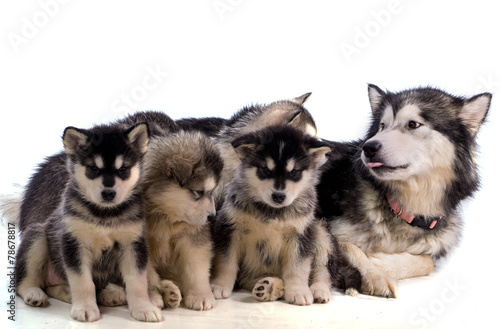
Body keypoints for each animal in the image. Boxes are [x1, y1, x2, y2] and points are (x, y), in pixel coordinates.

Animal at [15, 122, 162, 320]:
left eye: (123, 169)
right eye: (93, 169)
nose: (108, 193)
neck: (104, 215)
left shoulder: (132, 244)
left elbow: (137, 281)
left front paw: (143, 308)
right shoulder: (75, 243)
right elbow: (83, 282)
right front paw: (85, 308)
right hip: (37, 236)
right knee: (24, 282)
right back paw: (34, 293)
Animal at [144, 129, 224, 308]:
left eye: (212, 192)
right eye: (199, 192)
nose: (213, 216)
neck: (165, 215)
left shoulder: (193, 237)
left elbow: (196, 268)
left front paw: (200, 295)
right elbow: (147, 275)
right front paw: (151, 297)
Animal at [210, 124, 360, 304]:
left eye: (294, 172)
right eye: (265, 170)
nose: (278, 196)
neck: (272, 212)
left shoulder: (301, 235)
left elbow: (298, 267)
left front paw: (298, 291)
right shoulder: (230, 229)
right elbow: (226, 263)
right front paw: (219, 286)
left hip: (321, 234)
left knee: (322, 269)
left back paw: (319, 290)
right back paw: (269, 287)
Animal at [316, 84, 492, 298]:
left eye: (413, 124)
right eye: (382, 126)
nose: (368, 147)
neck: (400, 208)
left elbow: (427, 262)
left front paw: (380, 263)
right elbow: (350, 246)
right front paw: (376, 275)